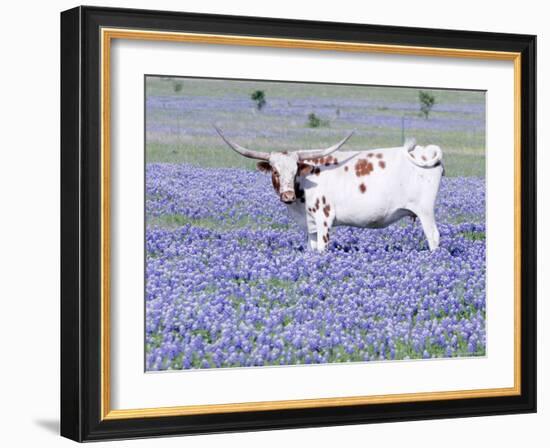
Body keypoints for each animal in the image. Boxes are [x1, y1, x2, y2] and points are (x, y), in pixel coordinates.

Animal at [213, 127, 446, 252]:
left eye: (295, 170)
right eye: (276, 172)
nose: (287, 195)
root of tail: (424, 151)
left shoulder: (324, 220)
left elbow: (323, 249)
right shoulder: (311, 226)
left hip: (425, 211)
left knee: (433, 236)